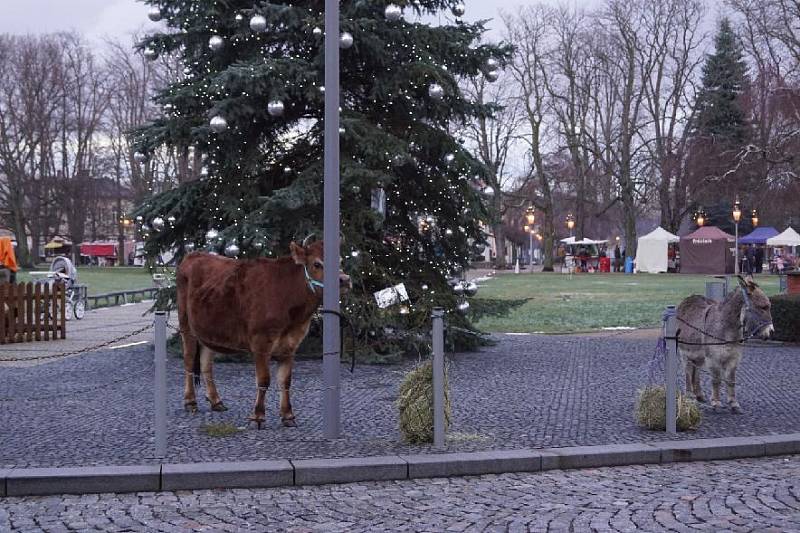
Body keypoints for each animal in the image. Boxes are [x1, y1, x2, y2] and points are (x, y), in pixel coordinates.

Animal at [178, 241, 350, 428]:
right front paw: (258, 416)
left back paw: (216, 401)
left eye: (341, 259)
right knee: (188, 361)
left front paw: (288, 416)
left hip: (209, 332)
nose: (345, 280)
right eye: (317, 264)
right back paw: (190, 402)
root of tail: (193, 254)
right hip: (186, 326)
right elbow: (264, 380)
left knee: (206, 363)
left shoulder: (291, 344)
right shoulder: (260, 342)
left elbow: (285, 381)